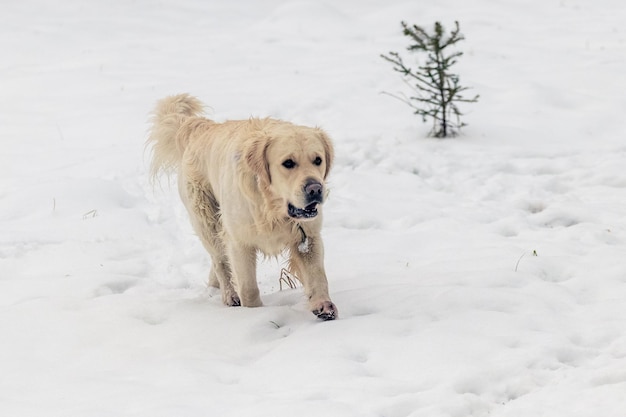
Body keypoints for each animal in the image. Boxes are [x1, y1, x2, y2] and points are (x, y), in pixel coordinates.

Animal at [147, 94, 336, 320]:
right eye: (288, 163)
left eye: (318, 160)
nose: (315, 189)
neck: (271, 208)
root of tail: (202, 127)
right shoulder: (240, 243)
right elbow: (248, 288)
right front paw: (253, 315)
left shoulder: (308, 236)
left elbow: (318, 277)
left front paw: (323, 305)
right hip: (206, 219)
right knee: (220, 261)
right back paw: (229, 296)